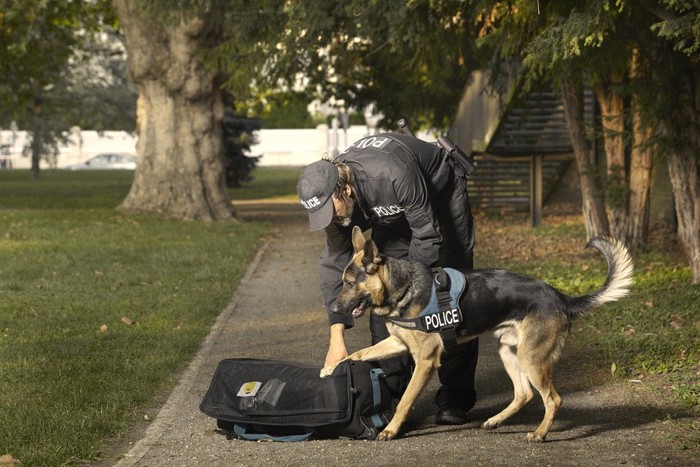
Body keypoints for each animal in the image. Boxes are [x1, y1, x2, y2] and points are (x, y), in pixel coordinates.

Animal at [322, 227, 636, 442]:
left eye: (349, 283)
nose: (334, 309)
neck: (402, 287)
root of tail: (560, 297)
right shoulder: (398, 343)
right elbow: (358, 353)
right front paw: (331, 367)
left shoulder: (425, 360)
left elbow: (407, 399)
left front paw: (390, 430)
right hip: (509, 352)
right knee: (524, 394)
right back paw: (495, 421)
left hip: (531, 359)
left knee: (553, 400)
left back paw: (539, 434)